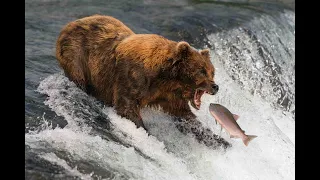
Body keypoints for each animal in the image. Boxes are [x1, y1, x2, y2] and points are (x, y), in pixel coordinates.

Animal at [55, 14, 230, 148]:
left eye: (212, 72)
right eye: (201, 70)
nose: (215, 86)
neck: (166, 77)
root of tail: (71, 23)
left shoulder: (168, 95)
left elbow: (185, 116)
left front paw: (221, 141)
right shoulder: (133, 77)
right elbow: (127, 106)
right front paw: (146, 132)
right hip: (77, 54)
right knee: (79, 77)